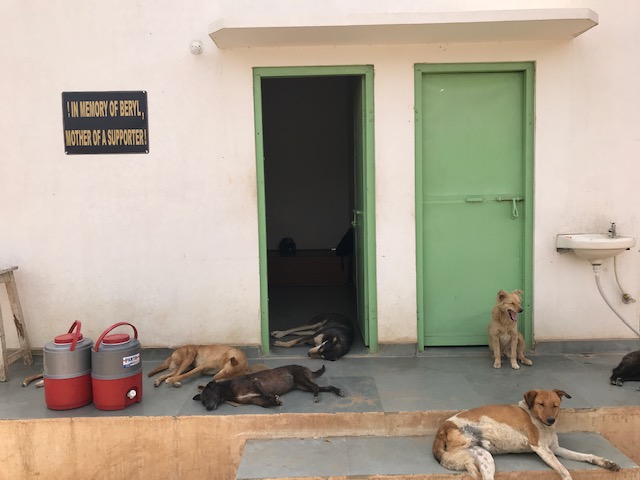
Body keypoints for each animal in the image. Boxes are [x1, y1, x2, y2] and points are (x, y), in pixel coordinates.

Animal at [194, 366, 344, 410]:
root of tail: (307, 369)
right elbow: (266, 403)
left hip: (302, 380)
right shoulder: (256, 400)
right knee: (324, 387)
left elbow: (266, 393)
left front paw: (274, 397)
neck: (228, 390)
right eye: (203, 402)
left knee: (316, 387)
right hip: (303, 386)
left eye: (207, 394)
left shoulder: (256, 383)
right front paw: (275, 402)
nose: (208, 408)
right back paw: (337, 391)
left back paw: (317, 397)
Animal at [432, 390, 616, 480]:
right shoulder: (541, 448)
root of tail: (441, 430)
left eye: (555, 405)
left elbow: (584, 455)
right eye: (541, 404)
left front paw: (605, 462)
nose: (550, 420)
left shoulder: (555, 449)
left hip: (484, 457)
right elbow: (564, 470)